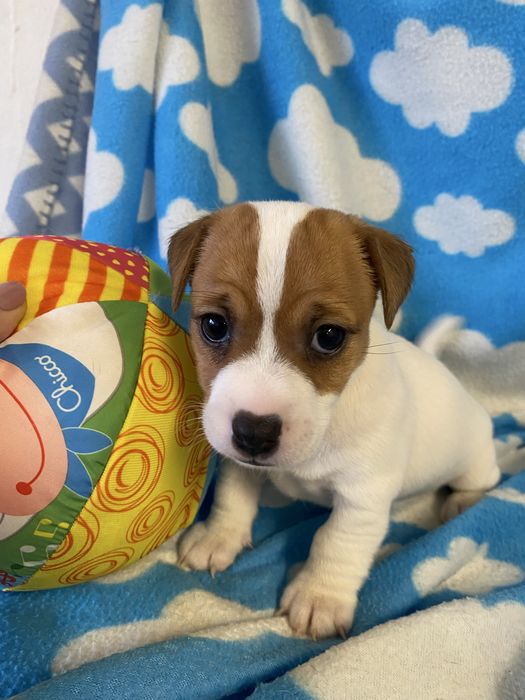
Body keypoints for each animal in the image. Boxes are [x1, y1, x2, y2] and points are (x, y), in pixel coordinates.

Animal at [168, 201, 500, 640]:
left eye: (329, 336)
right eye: (214, 325)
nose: (254, 433)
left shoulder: (362, 499)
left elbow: (335, 541)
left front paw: (319, 597)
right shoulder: (239, 461)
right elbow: (232, 495)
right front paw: (218, 536)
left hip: (473, 457)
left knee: (484, 477)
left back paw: (464, 498)